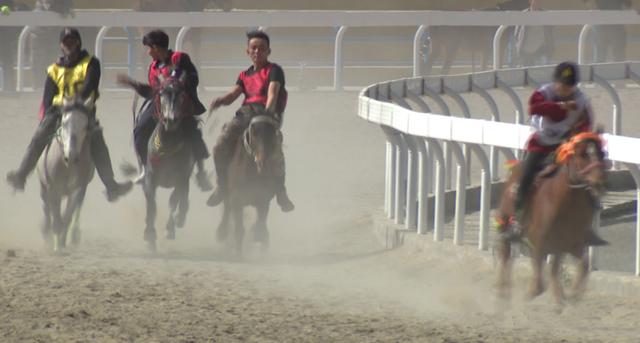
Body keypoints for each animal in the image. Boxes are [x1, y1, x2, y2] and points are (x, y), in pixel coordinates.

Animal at [37, 95, 95, 251]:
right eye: (64, 122)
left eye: (85, 125)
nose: (72, 155)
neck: (66, 165)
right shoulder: (52, 188)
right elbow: (55, 215)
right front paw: (55, 244)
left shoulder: (78, 188)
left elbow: (68, 215)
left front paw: (62, 242)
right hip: (43, 187)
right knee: (46, 207)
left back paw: (74, 235)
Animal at [138, 76, 192, 253]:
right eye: (161, 93)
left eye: (182, 94)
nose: (171, 120)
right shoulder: (150, 178)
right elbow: (151, 203)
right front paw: (149, 234)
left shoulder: (181, 179)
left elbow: (174, 201)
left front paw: (169, 229)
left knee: (182, 199)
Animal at [216, 108, 282, 258]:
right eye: (253, 132)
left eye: (272, 133)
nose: (262, 163)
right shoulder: (237, 200)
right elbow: (239, 228)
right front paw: (239, 255)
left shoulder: (263, 199)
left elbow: (261, 223)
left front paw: (260, 237)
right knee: (226, 208)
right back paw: (222, 233)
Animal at [498, 133, 608, 308]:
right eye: (582, 154)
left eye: (602, 153)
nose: (600, 182)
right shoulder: (538, 242)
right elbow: (537, 286)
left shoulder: (572, 244)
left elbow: (583, 266)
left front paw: (570, 296)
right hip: (505, 222)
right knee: (504, 253)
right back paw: (503, 293)